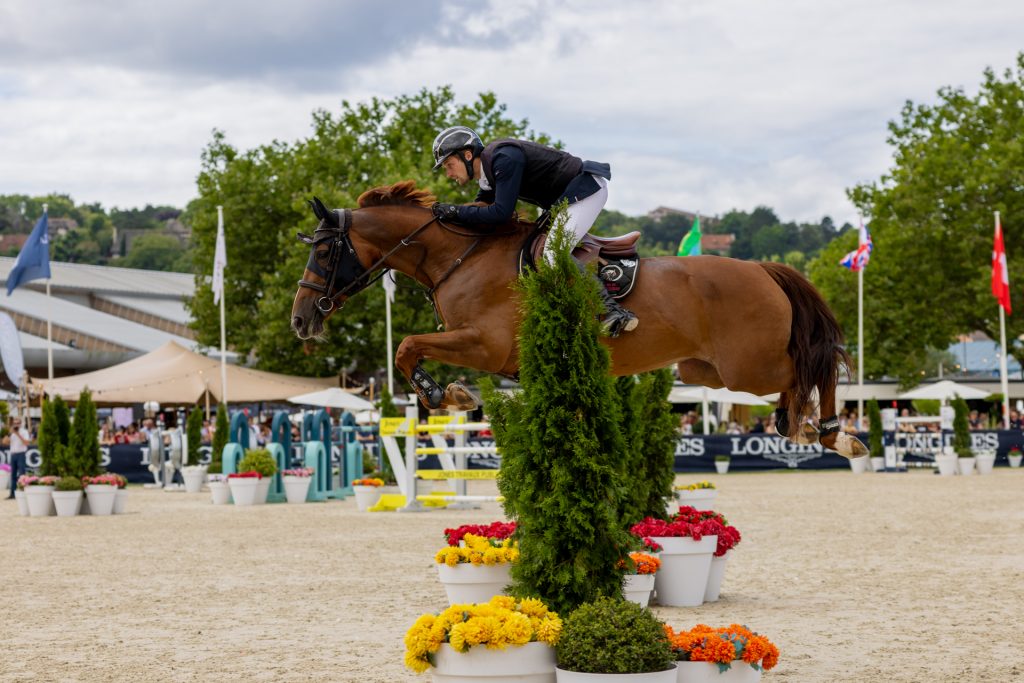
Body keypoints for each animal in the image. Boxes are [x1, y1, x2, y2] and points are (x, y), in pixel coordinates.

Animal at [292, 181, 868, 458]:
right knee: (800, 377)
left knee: (816, 366)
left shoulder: (484, 344)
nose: (300, 321)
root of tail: (763, 269)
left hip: (748, 366)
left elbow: (407, 345)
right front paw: (450, 394)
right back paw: (802, 427)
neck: (461, 256)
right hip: (706, 371)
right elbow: (409, 348)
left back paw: (833, 434)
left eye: (321, 251)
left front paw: (444, 394)